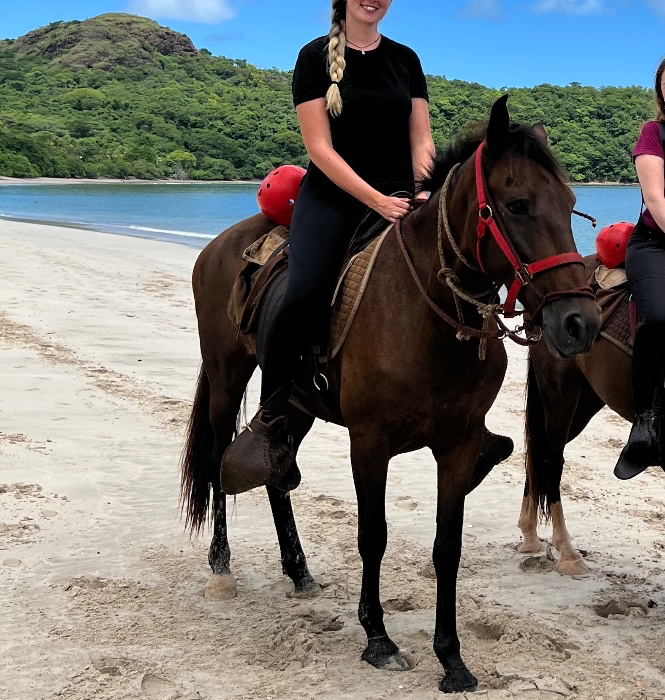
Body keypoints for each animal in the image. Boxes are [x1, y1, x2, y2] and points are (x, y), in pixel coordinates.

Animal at [180, 95, 601, 693]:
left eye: (570, 206)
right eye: (518, 204)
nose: (580, 322)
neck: (428, 314)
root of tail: (221, 244)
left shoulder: (459, 444)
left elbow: (447, 546)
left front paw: (452, 659)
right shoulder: (369, 444)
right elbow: (372, 536)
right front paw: (378, 639)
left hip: (296, 405)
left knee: (276, 472)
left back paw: (299, 571)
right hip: (225, 376)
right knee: (220, 461)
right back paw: (220, 568)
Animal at [519, 281, 633, 575]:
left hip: (587, 398)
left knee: (539, 454)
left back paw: (530, 535)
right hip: (561, 393)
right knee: (551, 461)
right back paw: (567, 552)